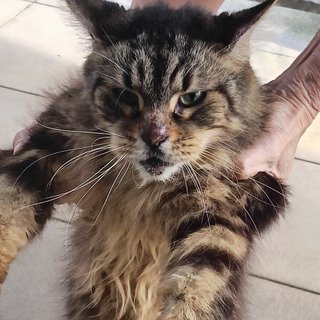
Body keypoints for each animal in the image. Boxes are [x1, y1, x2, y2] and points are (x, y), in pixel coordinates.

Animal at [0, 1, 288, 318]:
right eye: (126, 96)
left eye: (191, 98)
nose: (154, 138)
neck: (142, 188)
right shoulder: (42, 149)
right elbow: (9, 208)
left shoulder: (223, 212)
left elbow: (197, 286)